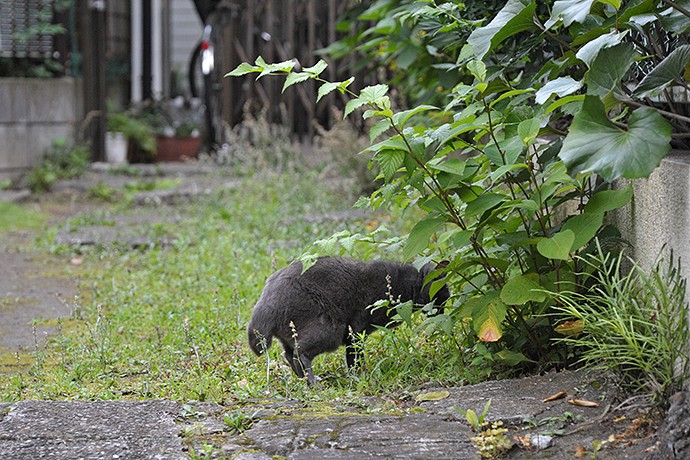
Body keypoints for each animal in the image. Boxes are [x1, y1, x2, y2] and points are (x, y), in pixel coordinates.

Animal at [245, 255, 448, 384]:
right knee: (299, 353)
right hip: (329, 328)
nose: (442, 312)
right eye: (440, 295)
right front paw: (360, 376)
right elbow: (354, 358)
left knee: (289, 354)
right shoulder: (356, 332)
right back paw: (313, 382)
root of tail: (267, 300)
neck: (404, 284)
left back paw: (305, 379)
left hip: (292, 334)